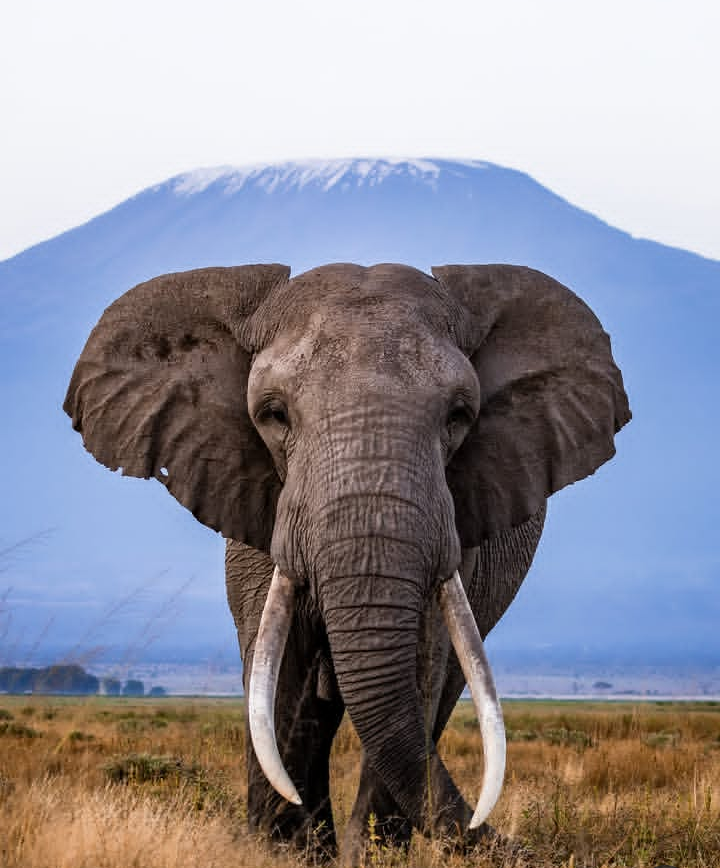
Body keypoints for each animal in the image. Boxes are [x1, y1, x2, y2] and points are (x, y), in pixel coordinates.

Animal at [64, 262, 630, 862]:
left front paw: (368, 858)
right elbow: (278, 679)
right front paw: (283, 854)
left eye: (459, 416)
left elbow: (418, 671)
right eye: (273, 415)